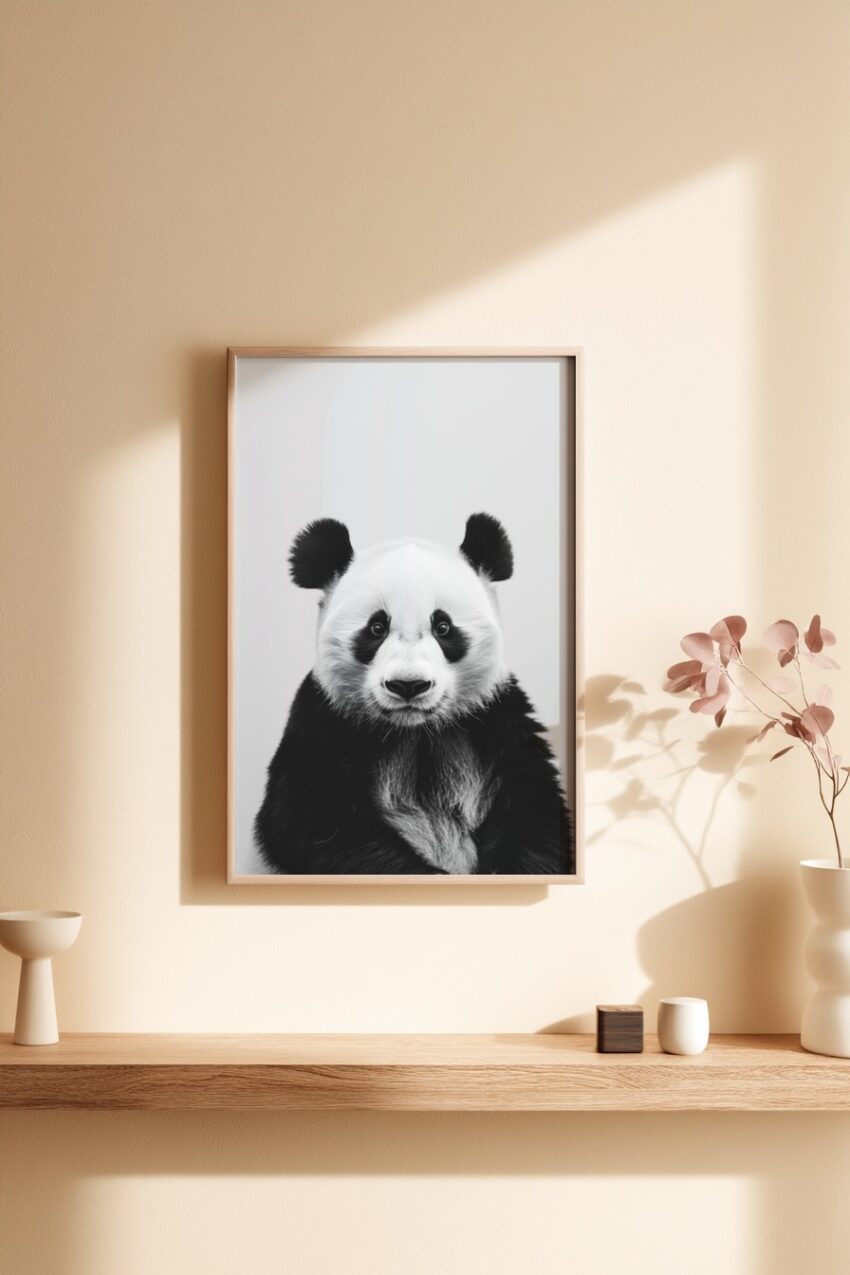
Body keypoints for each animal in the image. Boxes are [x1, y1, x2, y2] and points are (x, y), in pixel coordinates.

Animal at [254, 513, 574, 875]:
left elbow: (534, 815)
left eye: (443, 627)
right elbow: (313, 821)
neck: (416, 732)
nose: (408, 685)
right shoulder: (326, 719)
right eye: (376, 628)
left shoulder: (495, 720)